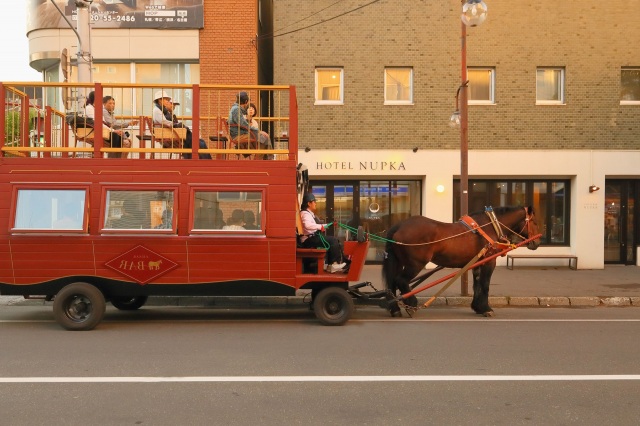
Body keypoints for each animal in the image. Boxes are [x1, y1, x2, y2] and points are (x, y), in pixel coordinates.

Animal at [384, 206, 540, 316]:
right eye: (533, 221)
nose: (537, 242)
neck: (490, 226)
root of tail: (399, 226)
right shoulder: (489, 262)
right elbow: (485, 285)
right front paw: (486, 309)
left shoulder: (477, 263)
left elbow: (477, 285)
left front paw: (478, 307)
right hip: (415, 264)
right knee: (401, 281)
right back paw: (411, 304)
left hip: (399, 262)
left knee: (392, 284)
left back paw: (395, 309)